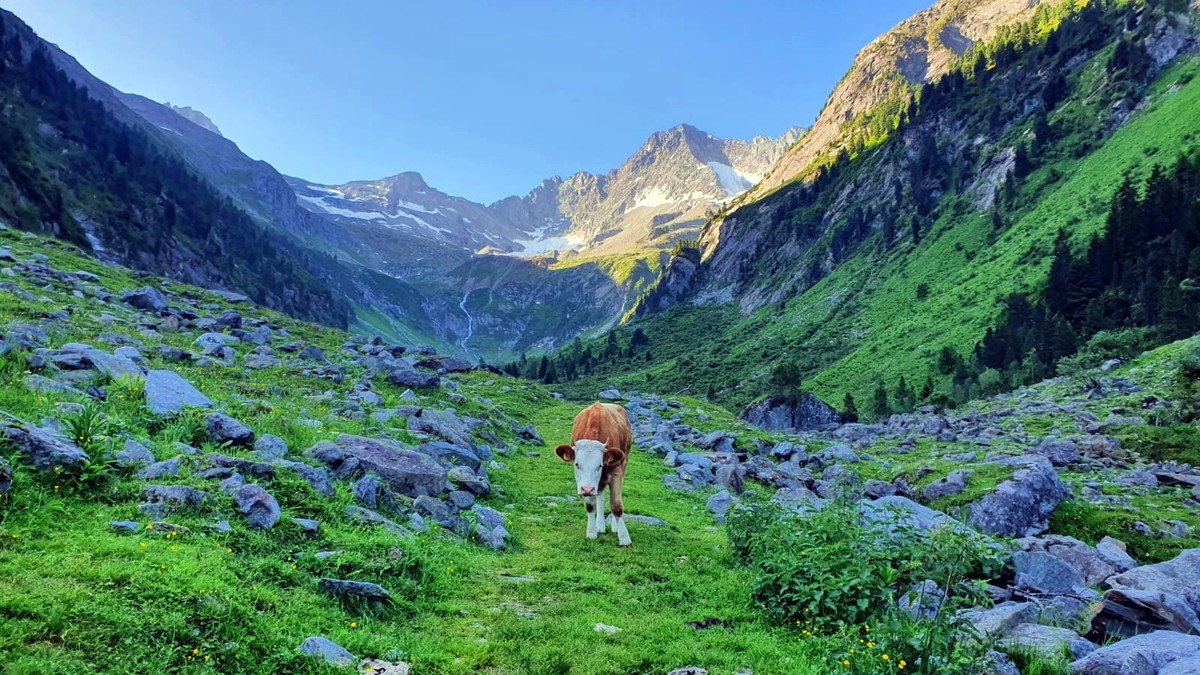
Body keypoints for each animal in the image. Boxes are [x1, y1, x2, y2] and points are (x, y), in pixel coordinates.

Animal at [555, 402, 633, 547]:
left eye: (600, 465)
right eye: (577, 464)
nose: (587, 489)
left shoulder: (616, 471)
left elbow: (616, 505)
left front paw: (624, 538)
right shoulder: (585, 483)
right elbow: (590, 505)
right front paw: (591, 532)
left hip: (624, 461)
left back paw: (614, 526)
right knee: (600, 496)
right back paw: (600, 525)